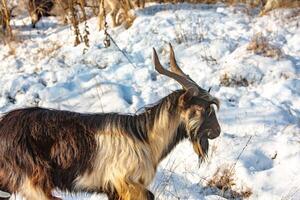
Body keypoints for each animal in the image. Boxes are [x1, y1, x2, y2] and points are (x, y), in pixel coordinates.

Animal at [0, 44, 220, 200]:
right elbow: (149, 195)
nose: (217, 131)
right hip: (32, 182)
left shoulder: (115, 189)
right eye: (203, 109)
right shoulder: (124, 181)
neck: (146, 138)